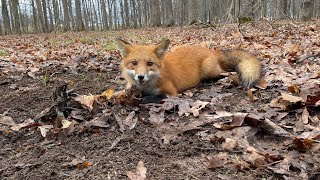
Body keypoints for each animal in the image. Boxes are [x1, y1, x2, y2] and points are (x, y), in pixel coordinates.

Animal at [114, 38, 260, 96]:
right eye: (134, 63)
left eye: (150, 64)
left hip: (208, 71)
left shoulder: (170, 92)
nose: (140, 77)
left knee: (224, 72)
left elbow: (149, 98)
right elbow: (121, 92)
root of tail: (211, 50)